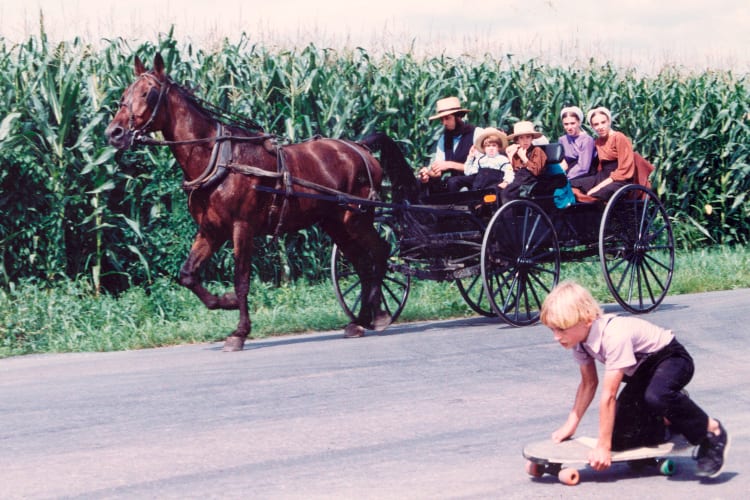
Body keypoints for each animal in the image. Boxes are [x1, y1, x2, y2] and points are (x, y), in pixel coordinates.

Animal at [108, 53, 400, 352]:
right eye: (124, 94)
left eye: (149, 93)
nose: (114, 132)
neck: (219, 157)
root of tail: (360, 147)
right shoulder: (211, 230)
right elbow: (187, 274)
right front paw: (224, 302)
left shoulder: (242, 227)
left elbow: (242, 280)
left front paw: (239, 332)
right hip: (336, 223)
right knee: (362, 263)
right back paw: (362, 319)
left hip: (356, 217)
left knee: (378, 253)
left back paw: (376, 315)